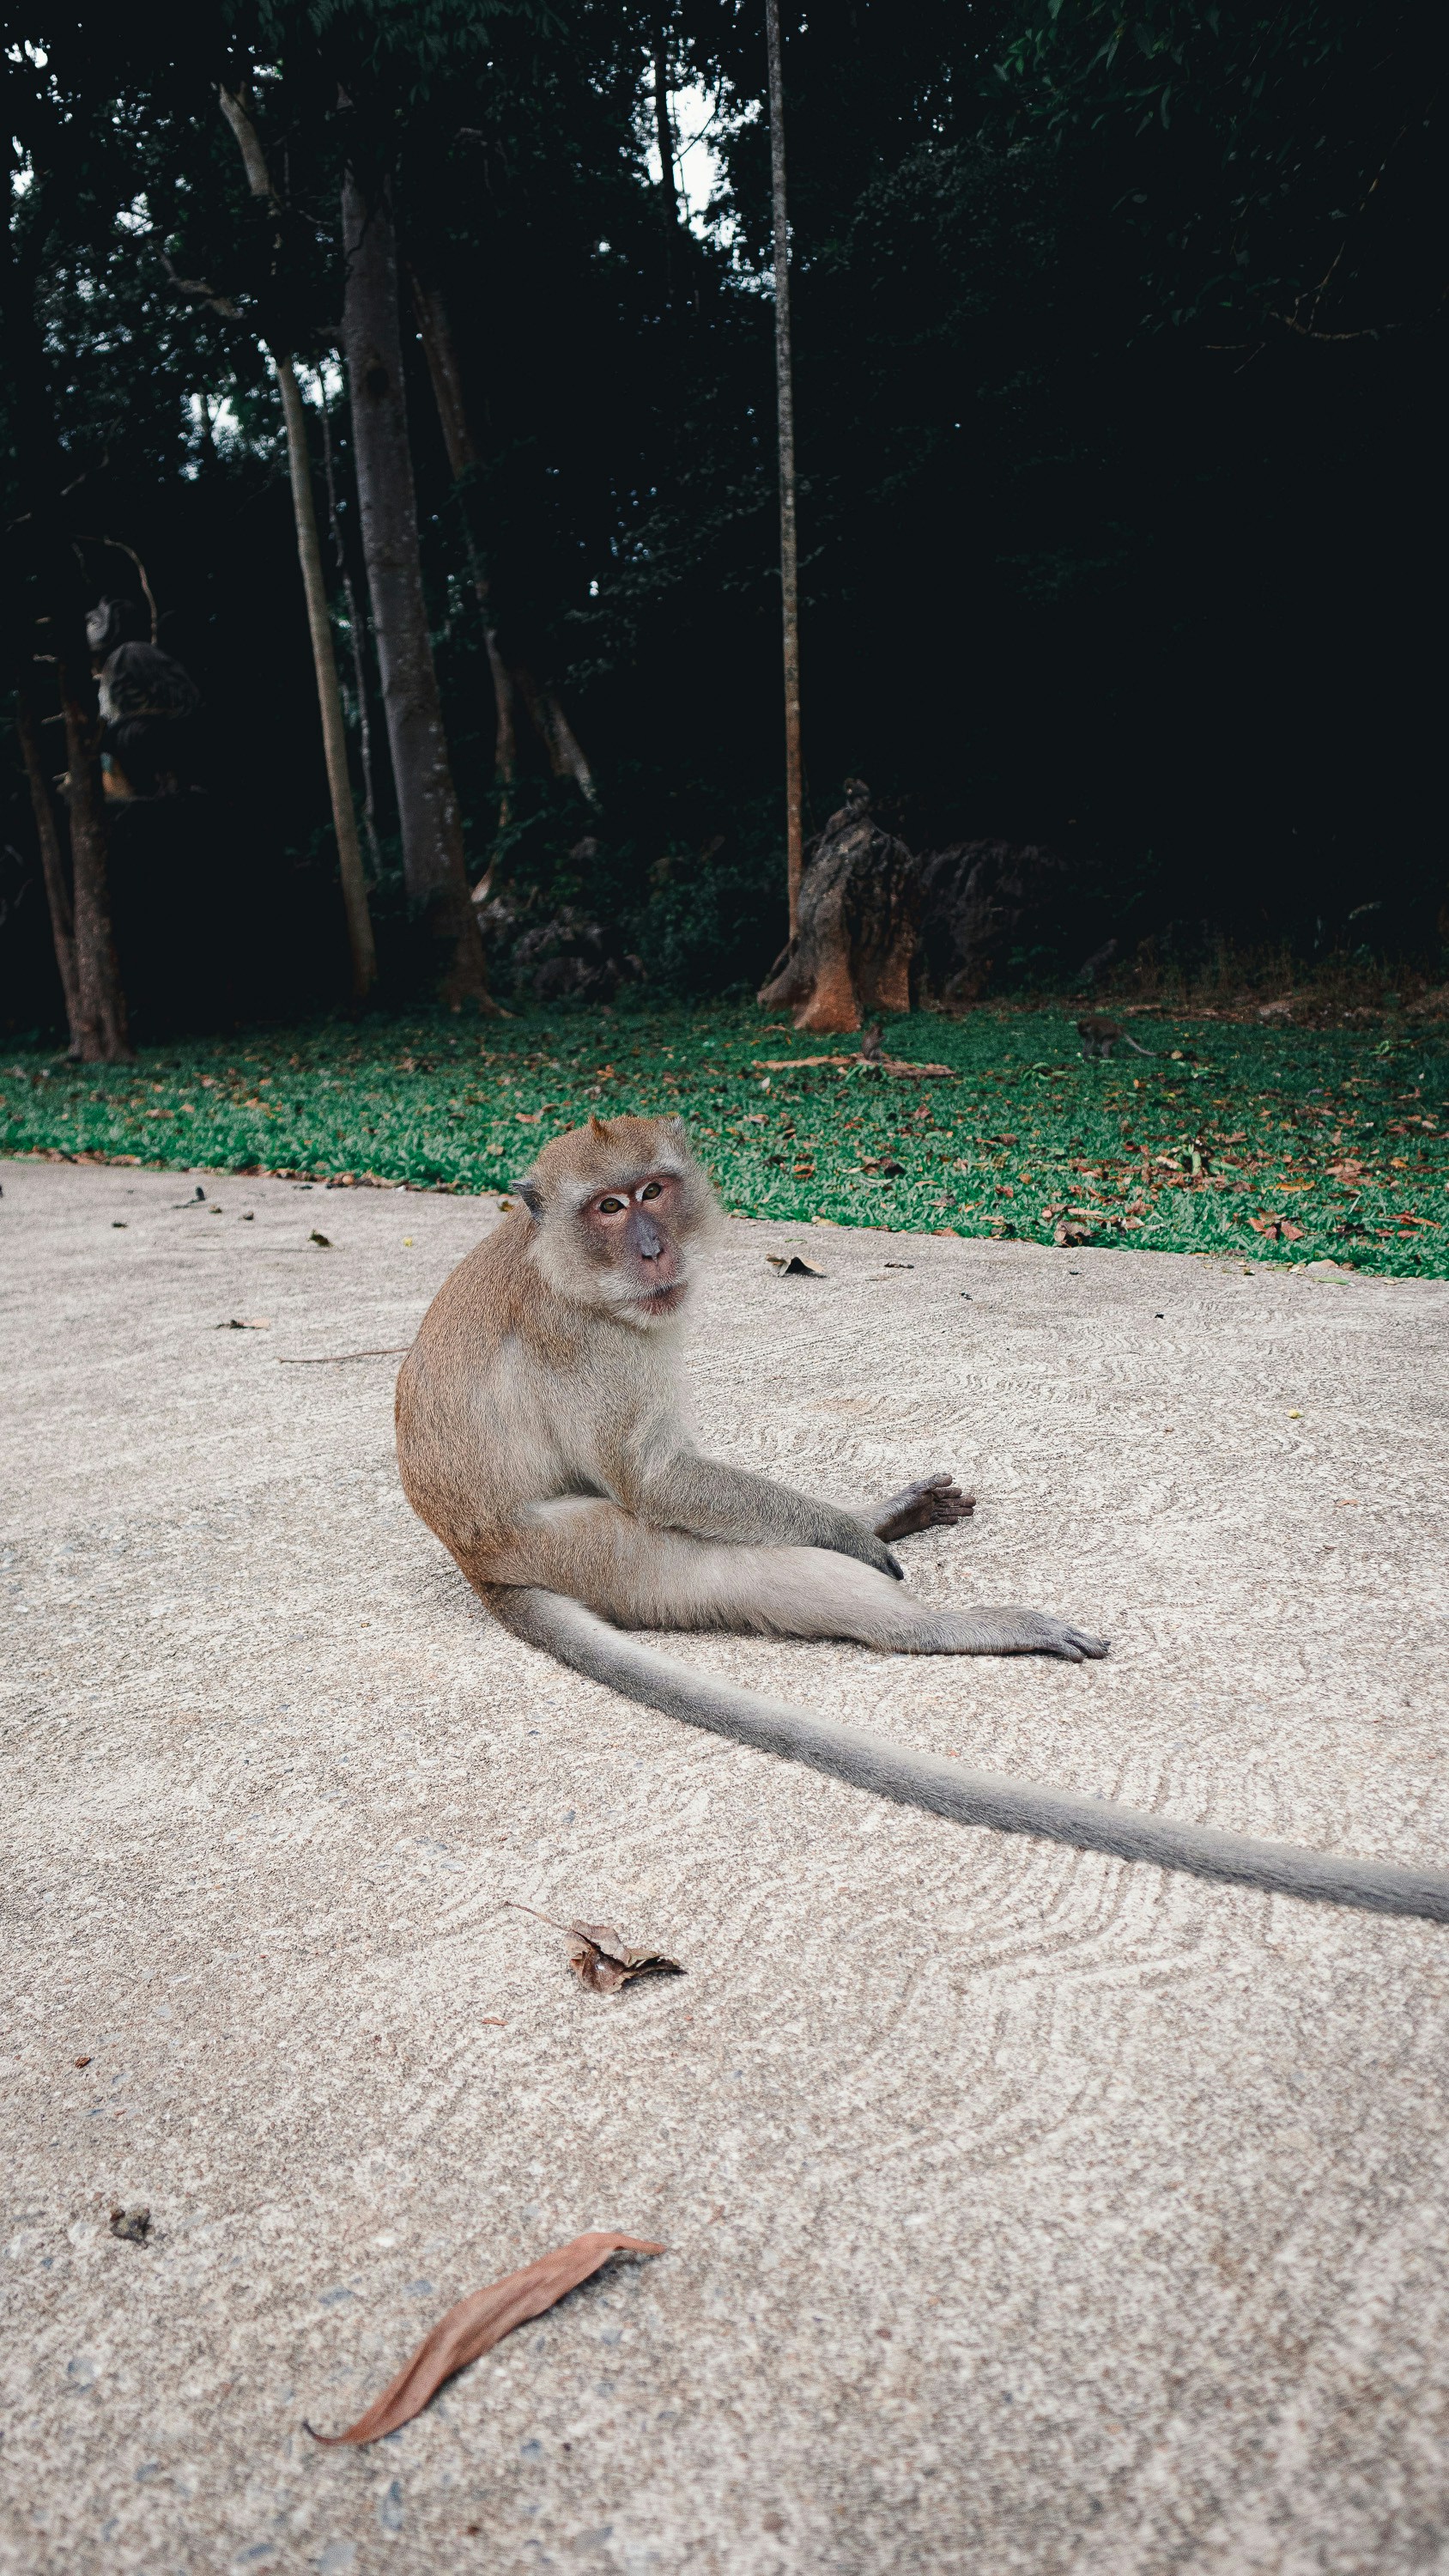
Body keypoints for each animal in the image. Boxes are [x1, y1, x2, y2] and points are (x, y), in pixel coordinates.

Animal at [395, 1113, 1449, 1927]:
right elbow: (655, 1477)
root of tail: (477, 1560)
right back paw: (946, 1620)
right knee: (741, 1566)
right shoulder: (594, 1344)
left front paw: (876, 1520)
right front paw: (856, 1538)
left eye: (653, 1190)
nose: (652, 1249)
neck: (563, 1266)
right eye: (608, 1209)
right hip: (588, 1549)